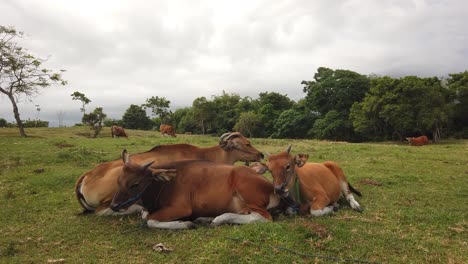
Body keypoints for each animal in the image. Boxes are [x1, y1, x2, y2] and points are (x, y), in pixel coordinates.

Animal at [110, 151, 280, 229]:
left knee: (262, 217)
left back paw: (218, 219)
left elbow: (150, 220)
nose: (113, 206)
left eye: (135, 184)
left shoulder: (181, 208)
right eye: (118, 181)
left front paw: (185, 224)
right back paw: (206, 218)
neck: (164, 185)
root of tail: (271, 186)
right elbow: (144, 215)